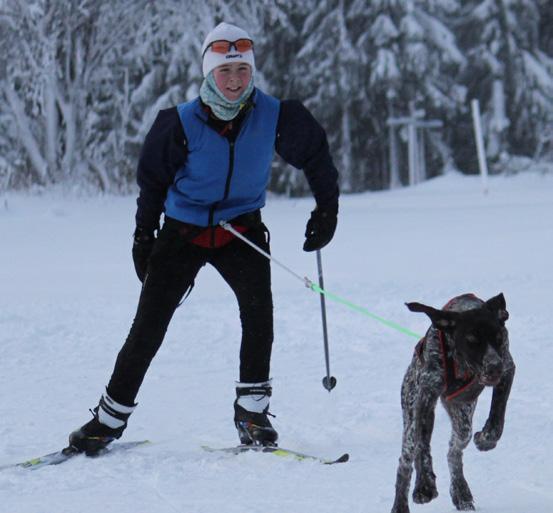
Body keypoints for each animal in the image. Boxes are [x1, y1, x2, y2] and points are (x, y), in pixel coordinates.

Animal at [390, 292, 516, 512]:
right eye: (471, 340)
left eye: (499, 338)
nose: (494, 367)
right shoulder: (426, 395)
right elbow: (422, 448)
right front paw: (425, 485)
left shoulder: (507, 369)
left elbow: (497, 416)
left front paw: (486, 439)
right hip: (411, 413)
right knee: (407, 460)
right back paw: (402, 503)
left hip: (462, 417)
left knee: (454, 451)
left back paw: (461, 492)